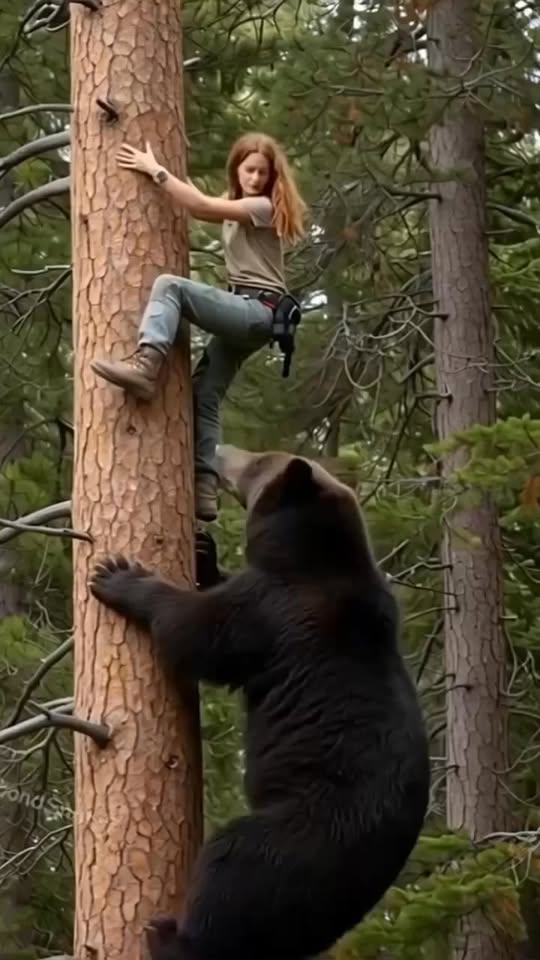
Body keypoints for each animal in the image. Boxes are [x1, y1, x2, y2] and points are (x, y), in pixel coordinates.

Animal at [89, 443, 430, 960]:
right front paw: (204, 553)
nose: (220, 450)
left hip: (299, 834)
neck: (308, 554)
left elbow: (199, 632)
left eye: (257, 461)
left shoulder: (273, 610)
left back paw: (168, 934)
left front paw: (118, 576)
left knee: (229, 867)